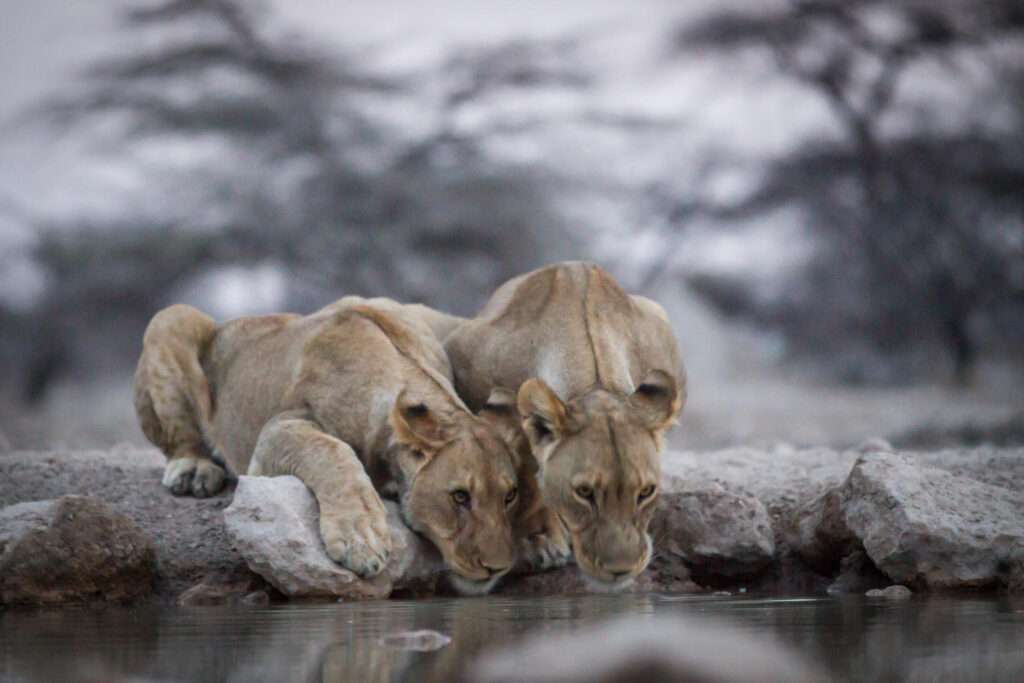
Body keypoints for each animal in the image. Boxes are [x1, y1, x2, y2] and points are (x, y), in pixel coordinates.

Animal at [134, 296, 520, 593]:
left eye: (510, 496)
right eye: (460, 497)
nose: (498, 567)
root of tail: (231, 323)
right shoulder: (276, 430)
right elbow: (332, 451)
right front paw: (361, 540)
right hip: (172, 317)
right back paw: (193, 471)